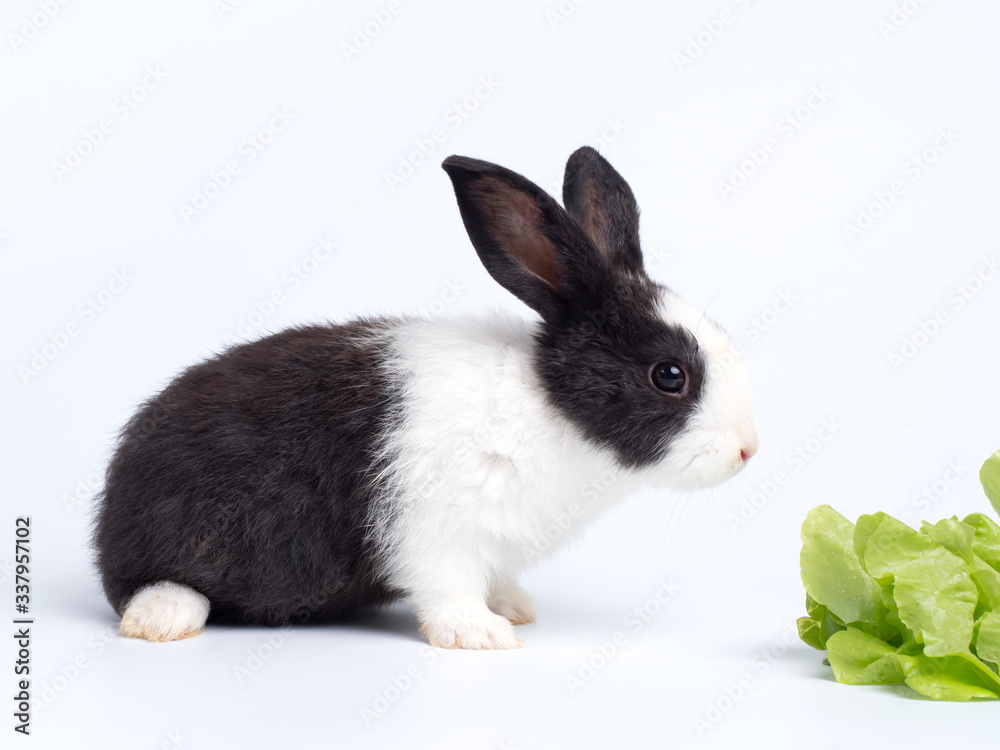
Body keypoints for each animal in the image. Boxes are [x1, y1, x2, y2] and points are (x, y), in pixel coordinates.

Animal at [93, 146, 758, 649]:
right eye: (669, 375)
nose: (748, 450)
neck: (547, 406)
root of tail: (110, 503)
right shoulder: (438, 530)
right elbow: (448, 589)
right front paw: (481, 635)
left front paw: (513, 607)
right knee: (143, 586)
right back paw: (163, 618)